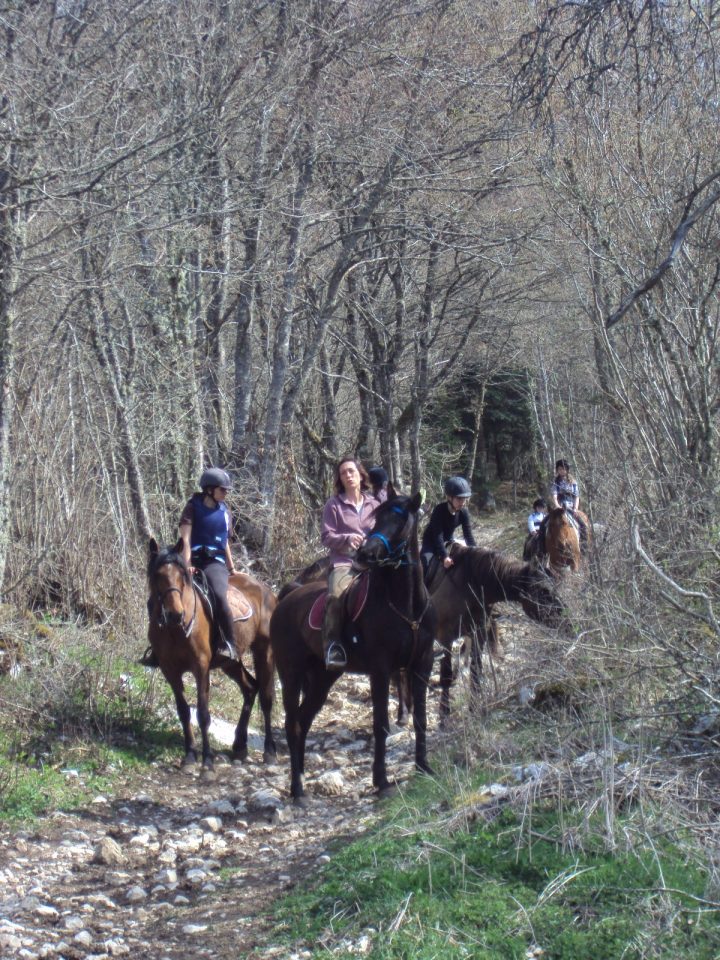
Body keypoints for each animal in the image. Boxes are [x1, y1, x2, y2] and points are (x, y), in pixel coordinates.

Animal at [146, 538, 277, 771]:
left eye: (182, 576)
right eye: (157, 575)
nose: (175, 614)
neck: (175, 629)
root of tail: (266, 590)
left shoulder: (201, 667)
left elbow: (203, 713)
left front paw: (207, 761)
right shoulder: (169, 670)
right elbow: (183, 711)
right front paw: (190, 756)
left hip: (265, 650)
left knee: (266, 696)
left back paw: (269, 750)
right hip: (230, 662)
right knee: (250, 688)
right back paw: (239, 745)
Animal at [270, 491, 435, 802]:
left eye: (401, 520)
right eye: (377, 518)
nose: (365, 554)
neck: (405, 605)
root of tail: (285, 599)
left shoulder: (422, 665)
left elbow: (421, 718)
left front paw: (423, 767)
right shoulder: (381, 670)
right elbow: (380, 724)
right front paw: (381, 781)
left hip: (322, 677)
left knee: (303, 721)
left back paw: (301, 781)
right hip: (291, 675)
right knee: (292, 724)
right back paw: (297, 789)